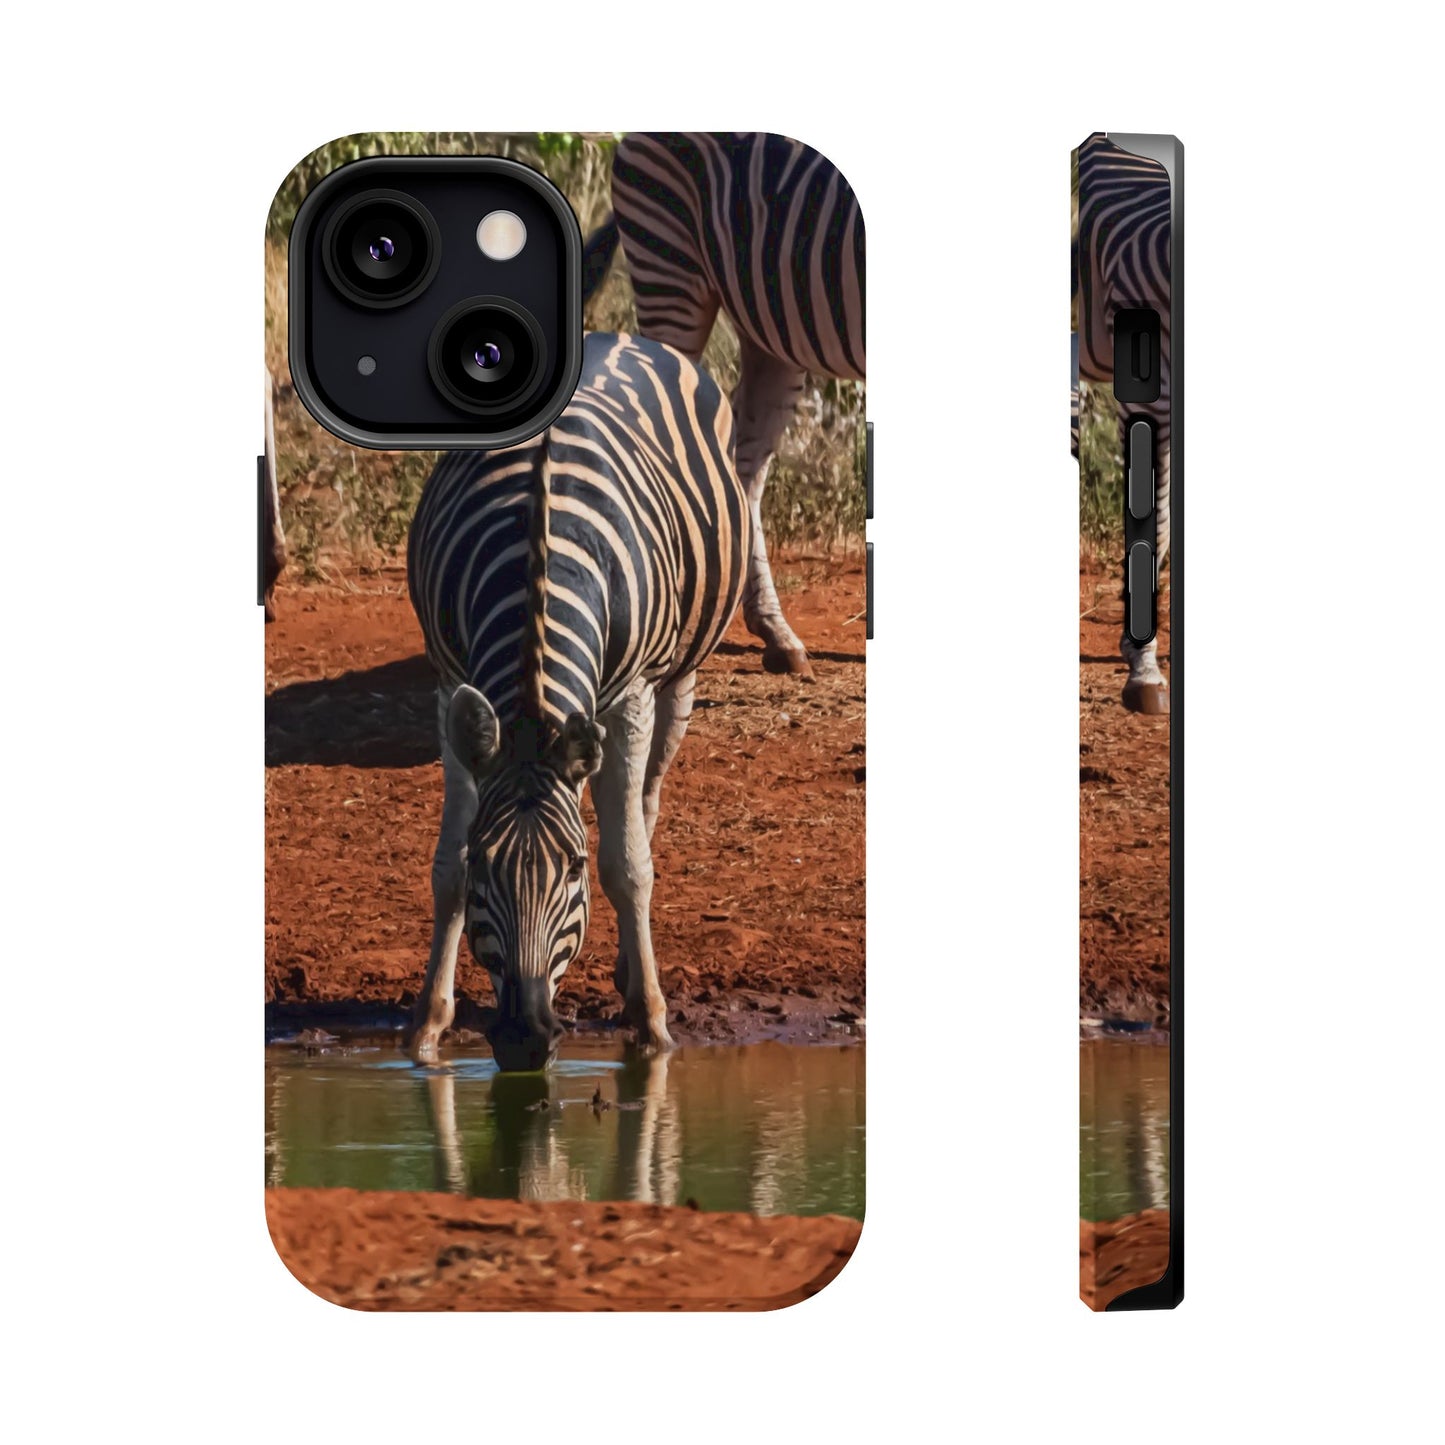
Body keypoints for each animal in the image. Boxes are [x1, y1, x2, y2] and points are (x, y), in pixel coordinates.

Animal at [406, 331, 751, 1068]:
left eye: (573, 868)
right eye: (487, 864)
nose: (524, 1039)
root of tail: (617, 334)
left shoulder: (631, 696)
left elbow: (628, 866)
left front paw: (652, 1025)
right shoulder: (449, 682)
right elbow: (445, 867)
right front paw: (426, 1026)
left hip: (676, 677)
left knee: (645, 802)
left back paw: (630, 973)